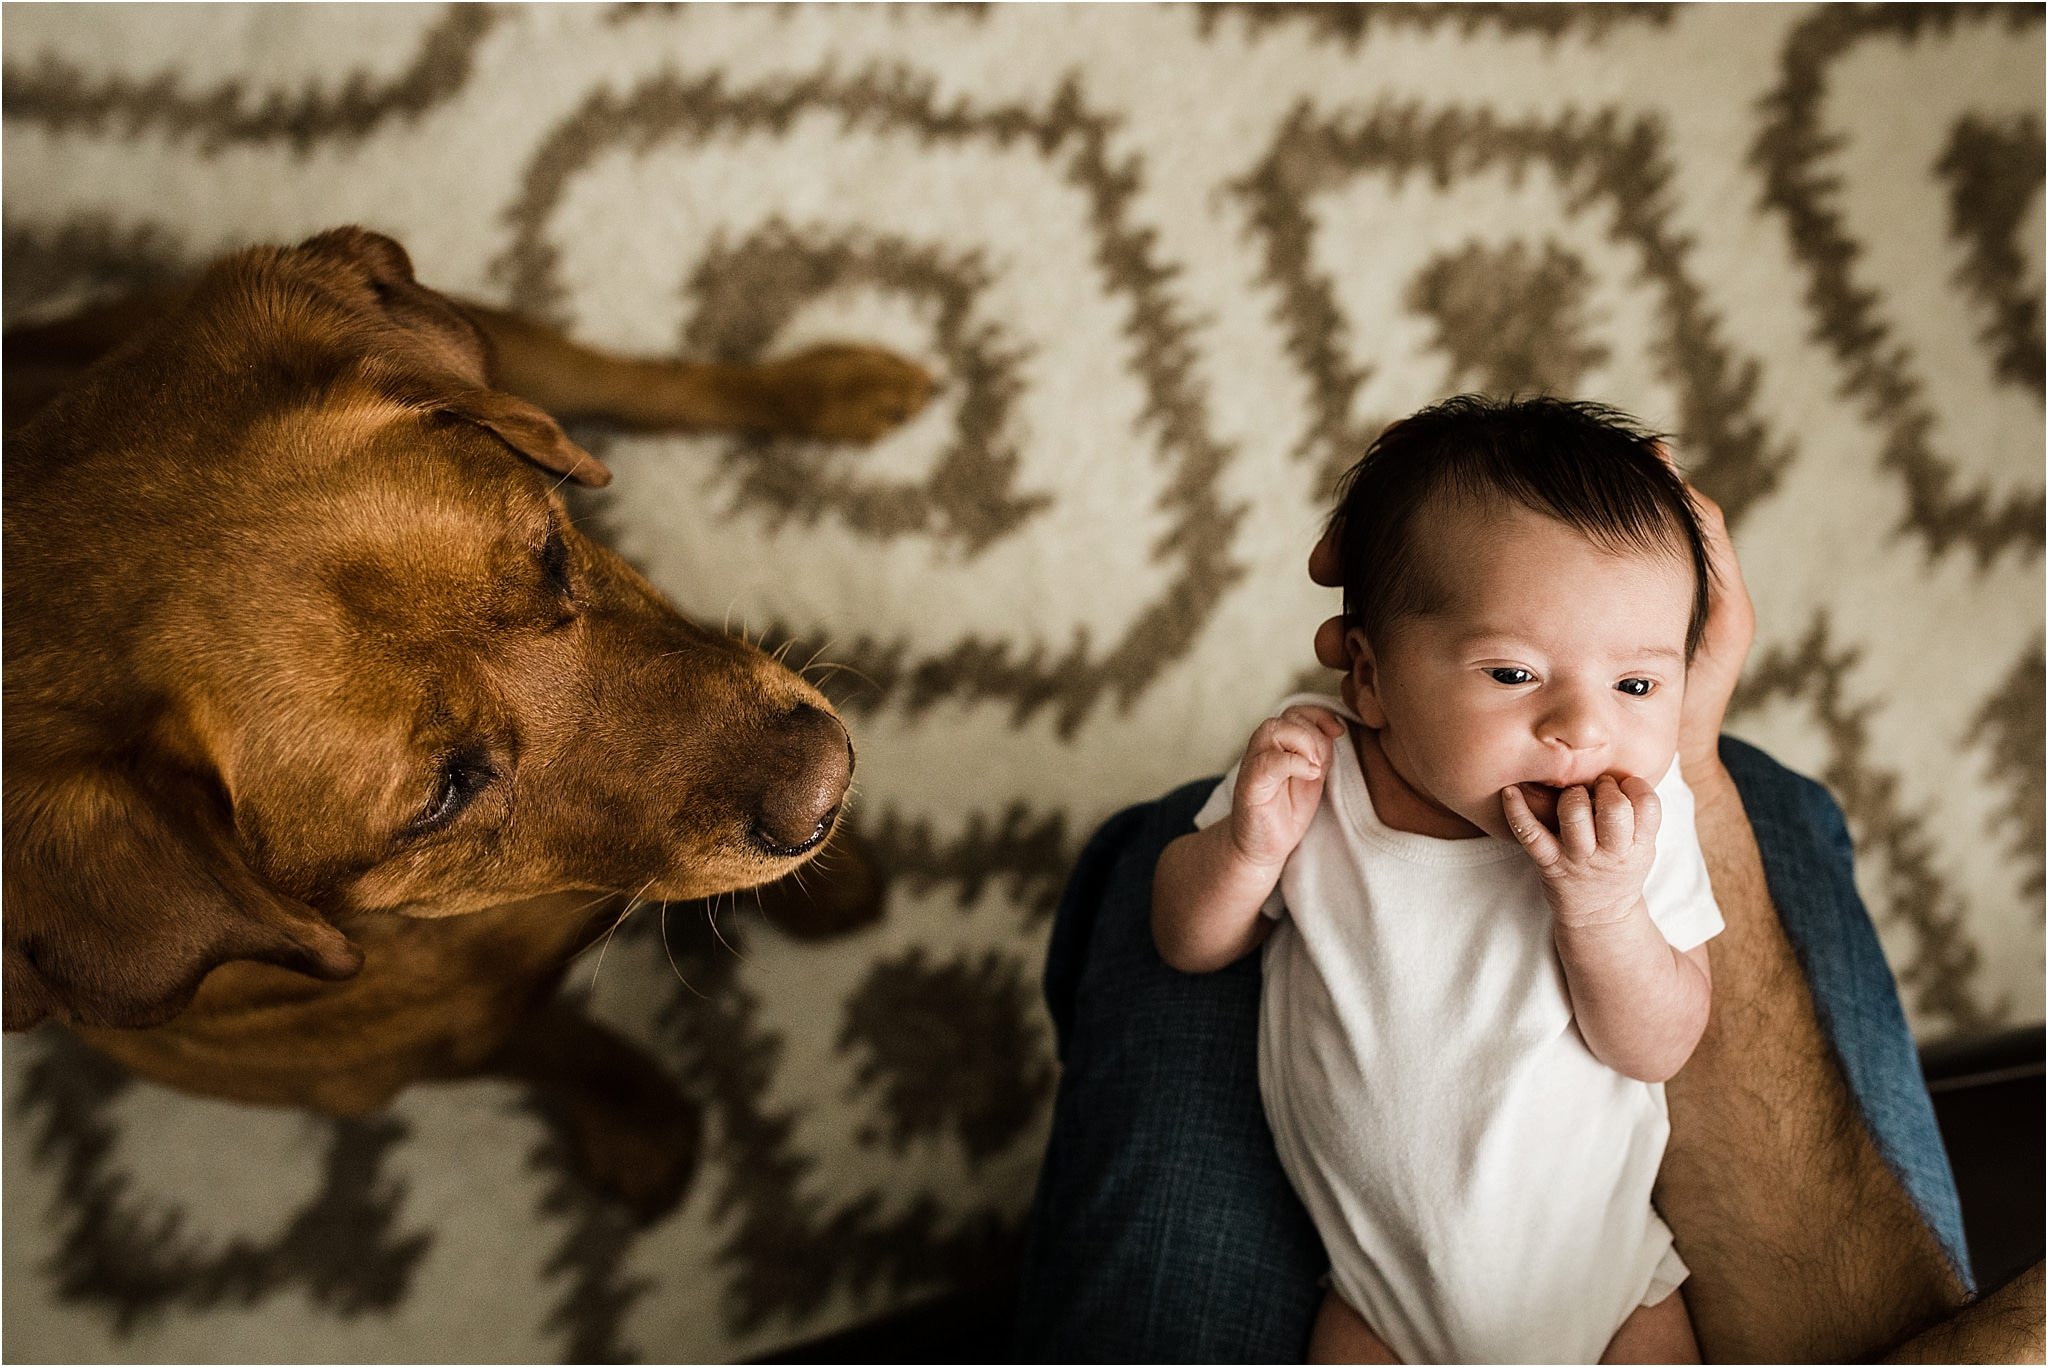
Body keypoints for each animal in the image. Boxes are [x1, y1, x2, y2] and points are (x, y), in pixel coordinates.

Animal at [4, 227, 933, 1221]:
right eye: (443, 793)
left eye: (554, 554)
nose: (826, 784)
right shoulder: (410, 1059)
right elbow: (560, 1048)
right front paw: (639, 1118)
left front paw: (827, 885)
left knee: (638, 380)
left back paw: (835, 384)